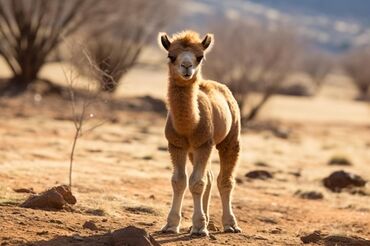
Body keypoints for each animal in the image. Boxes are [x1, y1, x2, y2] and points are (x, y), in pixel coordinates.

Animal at [160, 30, 243, 236]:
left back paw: (230, 224)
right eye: (171, 56)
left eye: (200, 57)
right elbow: (179, 181)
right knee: (210, 178)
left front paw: (199, 228)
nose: (186, 66)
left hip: (231, 138)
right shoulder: (176, 145)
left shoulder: (204, 143)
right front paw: (171, 225)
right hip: (193, 151)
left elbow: (196, 182)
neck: (189, 126)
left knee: (224, 179)